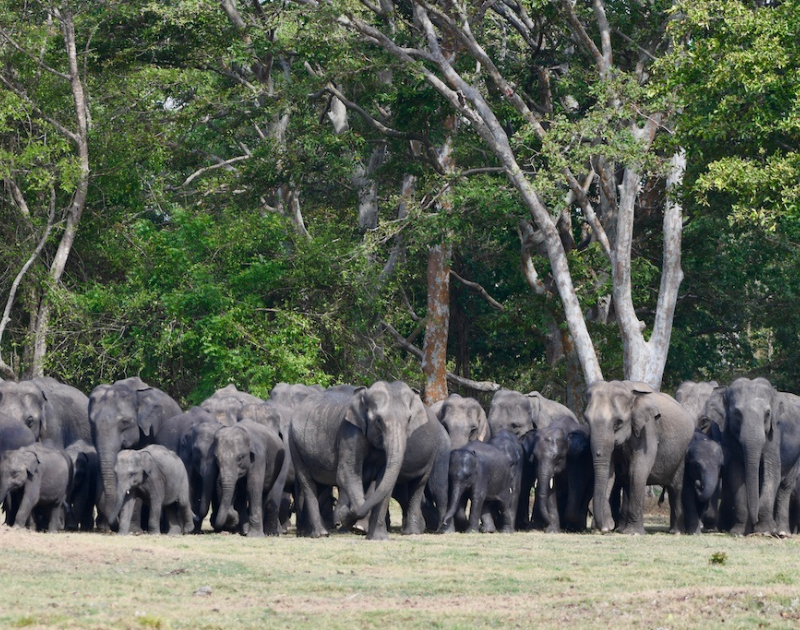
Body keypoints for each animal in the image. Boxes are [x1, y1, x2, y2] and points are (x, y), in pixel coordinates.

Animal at [289, 381, 428, 540]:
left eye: (409, 419)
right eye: (378, 420)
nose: (341, 516)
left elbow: (384, 481)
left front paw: (378, 538)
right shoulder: (350, 432)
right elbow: (346, 474)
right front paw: (345, 515)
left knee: (321, 485)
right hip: (294, 444)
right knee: (307, 482)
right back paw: (321, 534)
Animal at [584, 380, 694, 535]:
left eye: (618, 422)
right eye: (586, 420)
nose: (604, 527)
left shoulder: (649, 428)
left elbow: (638, 470)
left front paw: (633, 533)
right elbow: (611, 473)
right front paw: (607, 528)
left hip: (682, 452)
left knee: (676, 487)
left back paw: (676, 532)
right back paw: (622, 529)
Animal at [717, 378, 800, 536]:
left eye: (767, 414)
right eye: (737, 413)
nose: (754, 522)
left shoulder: (774, 435)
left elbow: (772, 472)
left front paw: (765, 531)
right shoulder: (730, 438)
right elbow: (736, 474)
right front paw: (738, 532)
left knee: (785, 485)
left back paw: (782, 532)